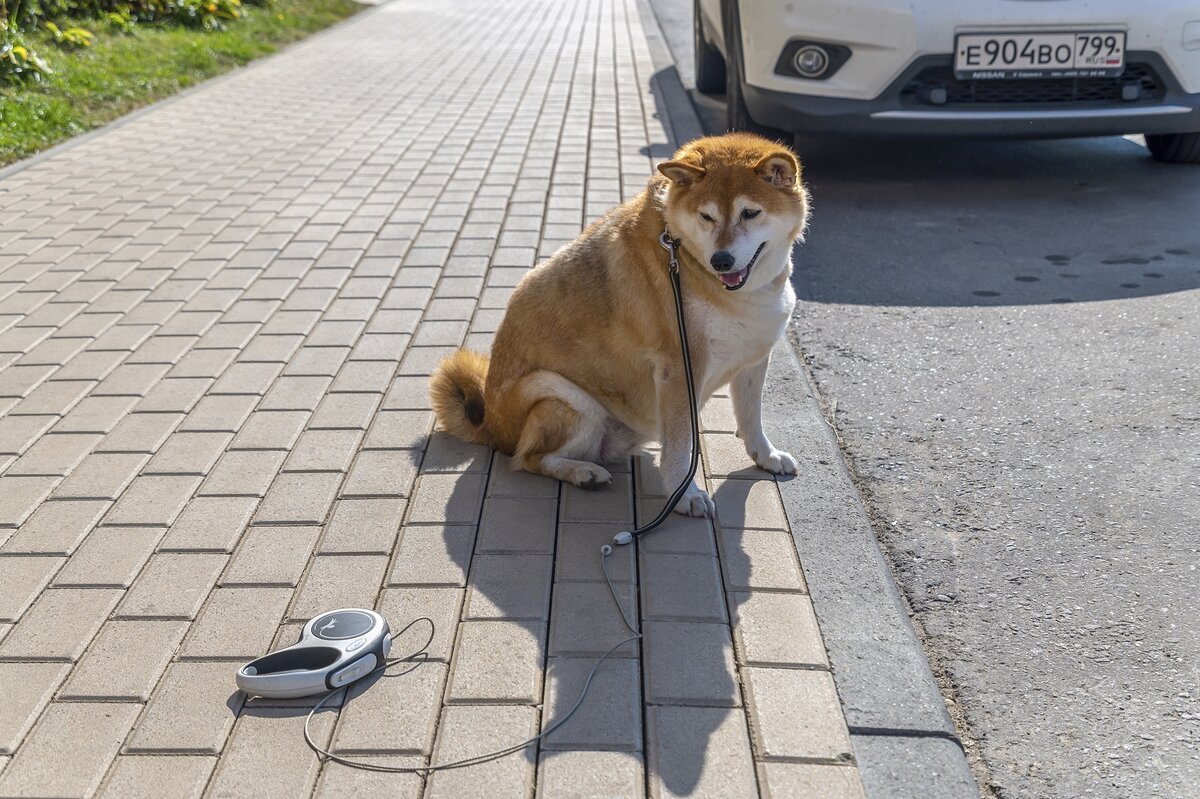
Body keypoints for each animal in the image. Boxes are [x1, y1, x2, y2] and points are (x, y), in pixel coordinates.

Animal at [427, 131, 811, 511]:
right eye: (706, 216)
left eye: (750, 213)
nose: (722, 260)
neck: (685, 255)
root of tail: (490, 426)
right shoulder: (681, 367)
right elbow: (681, 445)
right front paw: (685, 494)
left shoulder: (754, 357)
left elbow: (750, 417)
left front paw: (765, 455)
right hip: (561, 395)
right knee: (528, 458)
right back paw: (583, 472)